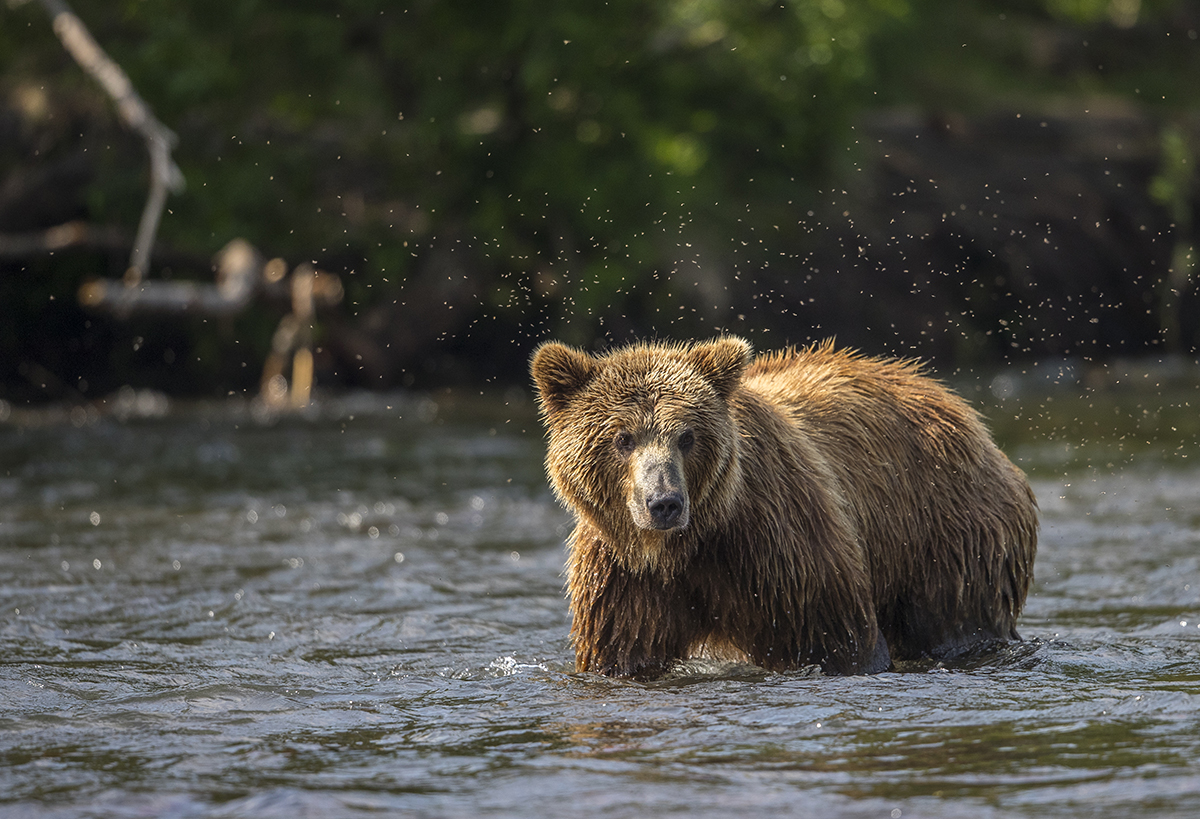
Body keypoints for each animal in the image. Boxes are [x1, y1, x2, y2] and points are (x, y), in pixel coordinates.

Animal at [530, 333, 1036, 677]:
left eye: (687, 436)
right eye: (623, 438)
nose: (664, 503)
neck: (685, 548)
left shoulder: (780, 554)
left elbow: (838, 641)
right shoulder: (624, 578)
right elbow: (624, 650)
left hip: (947, 533)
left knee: (954, 618)